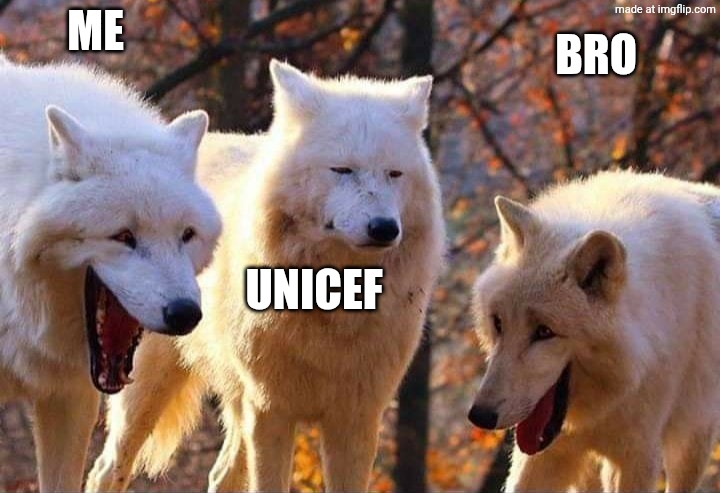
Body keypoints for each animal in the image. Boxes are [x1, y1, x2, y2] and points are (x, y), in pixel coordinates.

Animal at [86, 60, 445, 492]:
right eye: (342, 170)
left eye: (395, 174)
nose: (384, 228)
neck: (334, 301)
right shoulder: (271, 409)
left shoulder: (357, 418)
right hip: (148, 388)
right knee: (107, 469)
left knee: (221, 475)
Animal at [468, 170, 720, 492]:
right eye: (499, 323)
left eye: (544, 332)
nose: (480, 415)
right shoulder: (545, 453)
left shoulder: (637, 456)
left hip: (691, 442)